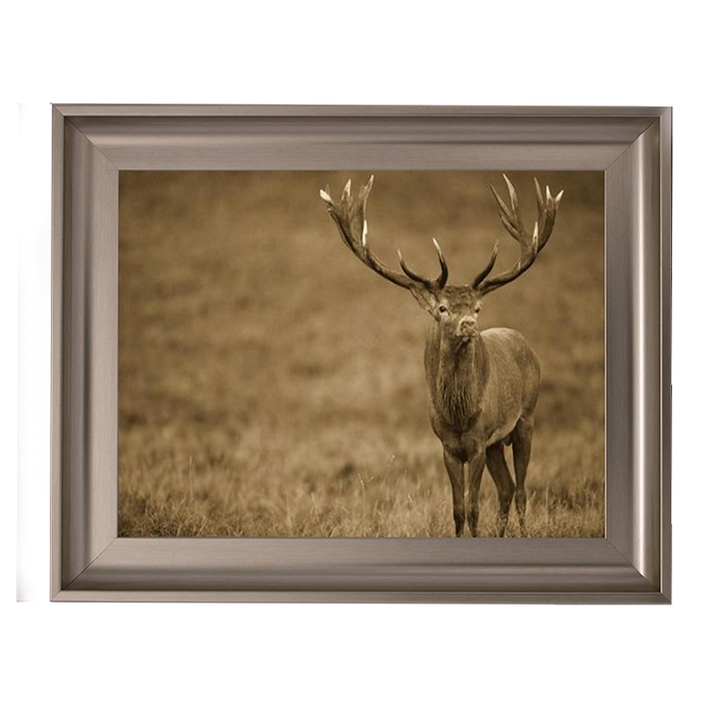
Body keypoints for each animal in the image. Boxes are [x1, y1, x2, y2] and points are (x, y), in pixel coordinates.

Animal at [320, 174, 563, 537]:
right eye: (442, 308)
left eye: (477, 307)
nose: (469, 325)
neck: (459, 415)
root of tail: (525, 344)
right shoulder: (448, 446)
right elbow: (458, 509)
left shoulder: (477, 443)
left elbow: (474, 507)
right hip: (497, 443)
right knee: (506, 488)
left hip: (526, 418)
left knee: (520, 490)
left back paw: (522, 532)